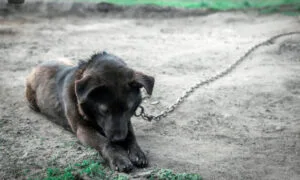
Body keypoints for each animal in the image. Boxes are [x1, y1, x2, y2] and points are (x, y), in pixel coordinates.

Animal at [25, 51, 155, 172]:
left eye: (128, 108)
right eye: (104, 110)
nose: (119, 140)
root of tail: (38, 66)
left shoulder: (126, 123)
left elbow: (131, 136)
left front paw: (137, 152)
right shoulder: (82, 129)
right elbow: (105, 142)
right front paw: (119, 158)